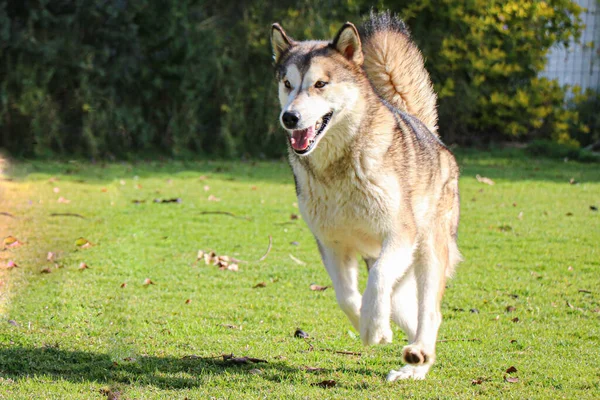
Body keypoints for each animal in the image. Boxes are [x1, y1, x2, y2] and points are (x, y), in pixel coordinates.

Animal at [270, 11, 462, 382]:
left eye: (320, 84)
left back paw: (417, 355)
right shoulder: (331, 244)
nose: (290, 117)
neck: (338, 170)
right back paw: (415, 363)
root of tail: (426, 131)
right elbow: (346, 296)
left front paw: (373, 327)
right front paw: (372, 327)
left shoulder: (400, 235)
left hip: (429, 250)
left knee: (430, 312)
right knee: (410, 312)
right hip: (401, 282)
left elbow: (378, 278)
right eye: (287, 83)